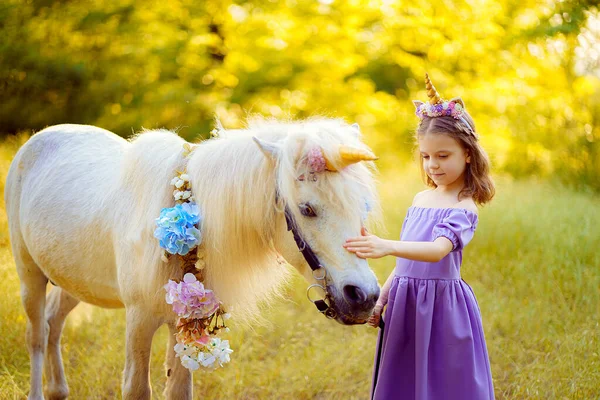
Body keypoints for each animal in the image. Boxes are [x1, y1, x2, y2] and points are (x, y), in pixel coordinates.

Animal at [5, 119, 380, 400]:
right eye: (306, 209)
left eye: (363, 205)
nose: (365, 296)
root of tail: (39, 138)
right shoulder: (139, 319)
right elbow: (136, 388)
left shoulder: (181, 320)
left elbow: (179, 390)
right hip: (29, 275)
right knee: (36, 335)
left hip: (74, 280)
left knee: (53, 322)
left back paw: (58, 390)